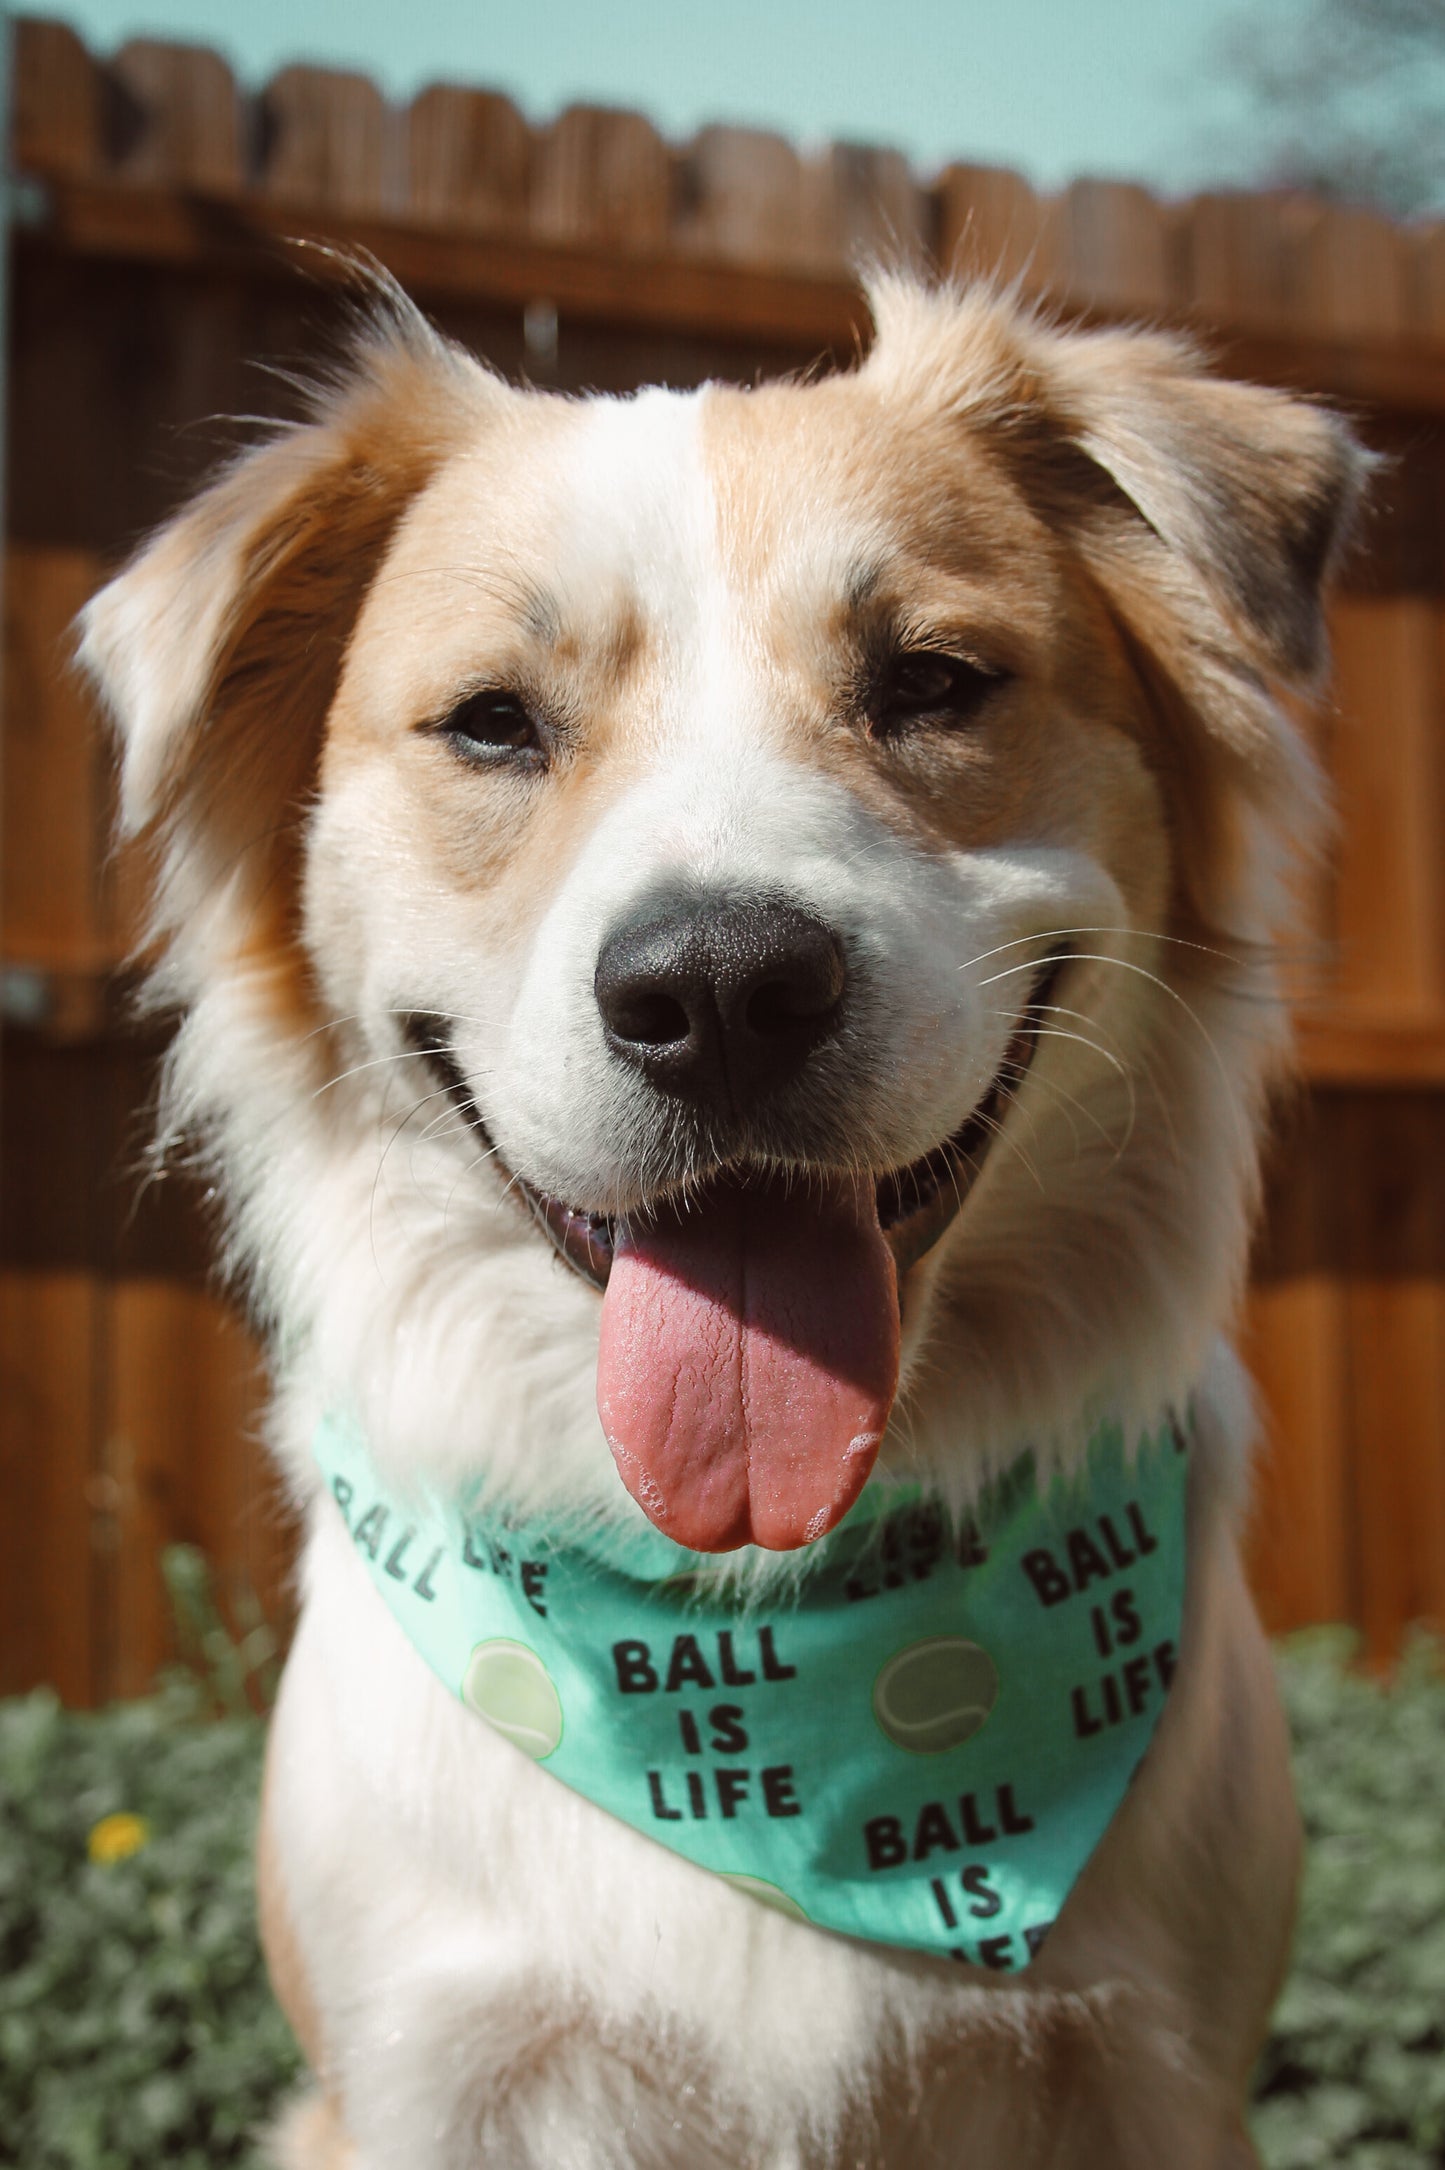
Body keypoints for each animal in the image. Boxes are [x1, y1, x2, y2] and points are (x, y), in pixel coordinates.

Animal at [78, 275, 1362, 2170]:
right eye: (490, 722)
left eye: (931, 682)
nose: (723, 991)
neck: (744, 1635)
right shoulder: (420, 2080)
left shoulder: (1164, 2076)